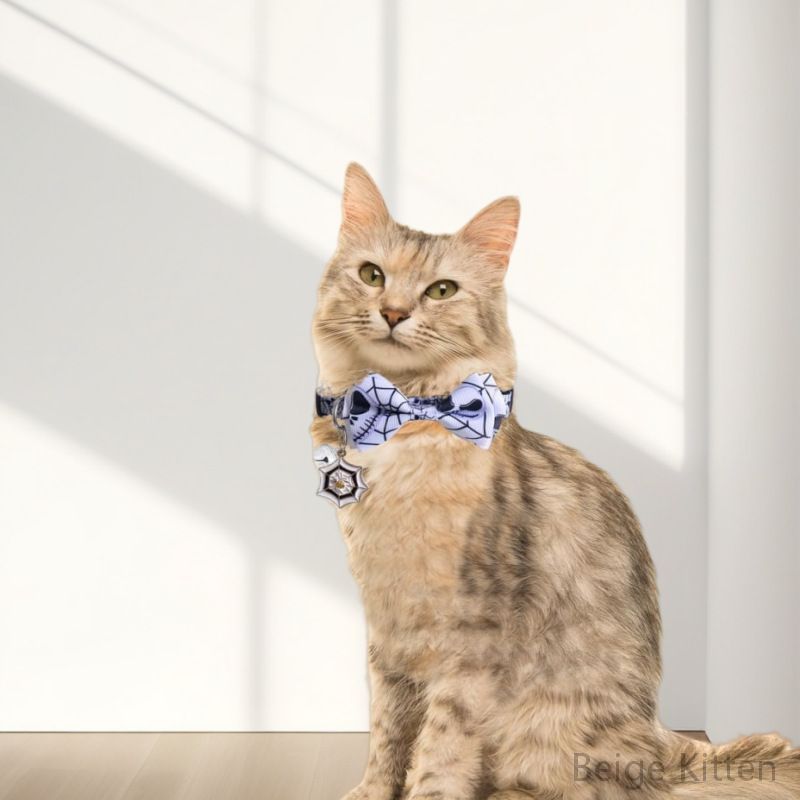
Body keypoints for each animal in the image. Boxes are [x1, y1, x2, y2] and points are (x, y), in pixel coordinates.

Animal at [309, 163, 800, 800]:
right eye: (372, 275)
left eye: (441, 291)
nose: (393, 312)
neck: (404, 427)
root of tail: (663, 752)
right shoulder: (388, 629)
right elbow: (388, 732)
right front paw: (372, 793)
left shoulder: (472, 630)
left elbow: (441, 742)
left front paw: (429, 791)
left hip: (556, 728)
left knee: (588, 786)